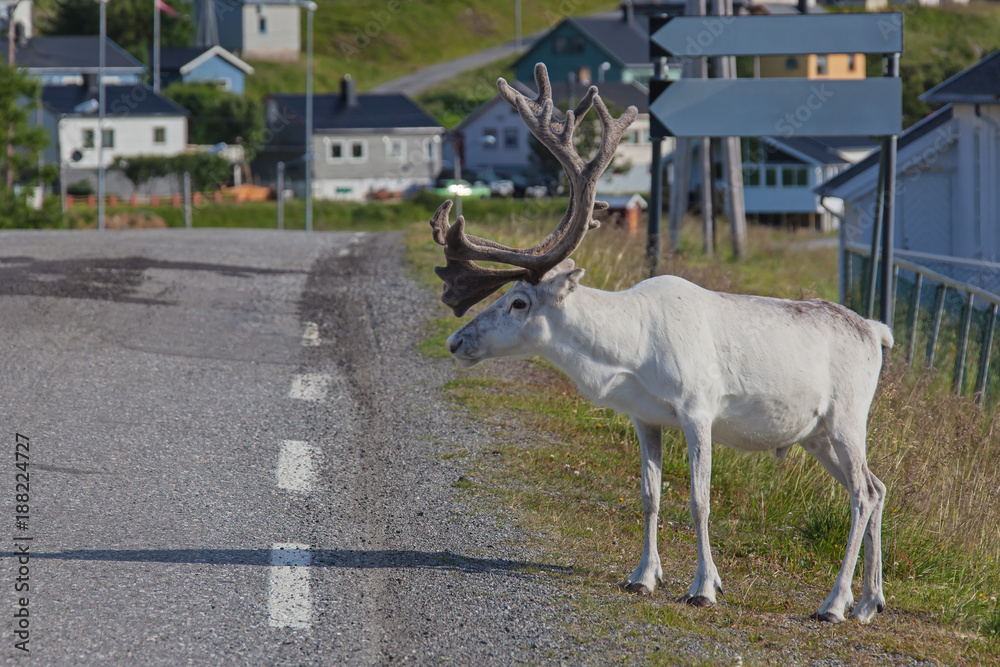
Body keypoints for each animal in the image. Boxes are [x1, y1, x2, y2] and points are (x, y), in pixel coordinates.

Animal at [430, 63, 892, 624]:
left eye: (519, 302)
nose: (456, 340)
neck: (628, 351)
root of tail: (876, 331)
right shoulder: (645, 417)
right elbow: (649, 495)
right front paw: (643, 577)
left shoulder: (698, 409)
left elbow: (699, 500)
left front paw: (704, 586)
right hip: (816, 433)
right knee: (876, 487)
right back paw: (870, 601)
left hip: (848, 416)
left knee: (863, 493)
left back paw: (835, 603)